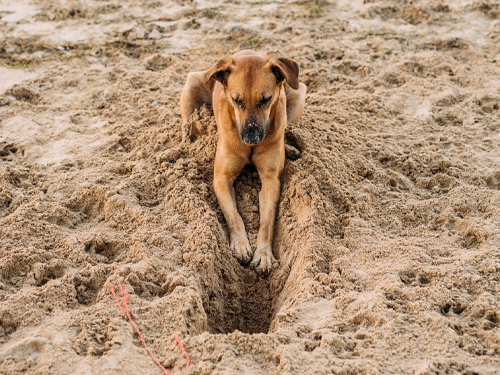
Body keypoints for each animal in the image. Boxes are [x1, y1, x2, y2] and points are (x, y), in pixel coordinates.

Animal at [179, 50, 304, 276]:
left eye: (265, 100)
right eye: (237, 100)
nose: (250, 138)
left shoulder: (271, 180)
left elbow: (267, 220)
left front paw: (263, 253)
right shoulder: (221, 178)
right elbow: (233, 214)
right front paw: (240, 244)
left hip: (299, 93)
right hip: (192, 86)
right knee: (187, 126)